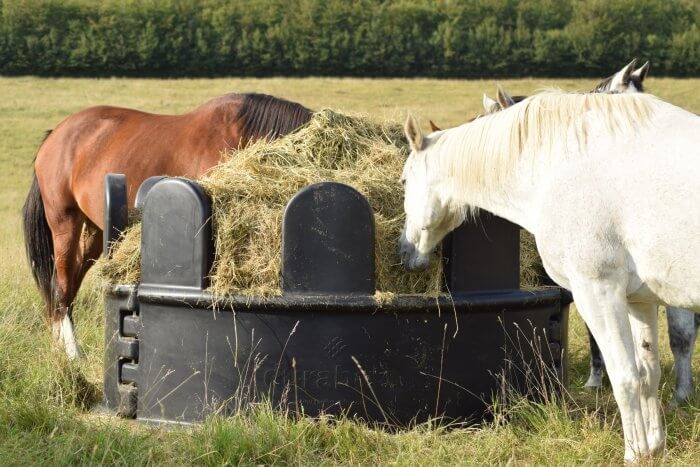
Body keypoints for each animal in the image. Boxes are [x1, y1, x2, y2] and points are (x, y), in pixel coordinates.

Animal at [22, 94, 312, 358]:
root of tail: (57, 134)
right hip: (64, 221)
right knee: (61, 285)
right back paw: (73, 355)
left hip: (95, 230)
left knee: (69, 284)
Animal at [400, 91, 700, 460]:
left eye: (404, 180)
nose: (404, 250)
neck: (558, 166)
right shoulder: (638, 301)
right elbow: (647, 375)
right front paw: (653, 450)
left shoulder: (597, 292)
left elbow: (625, 377)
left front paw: (634, 453)